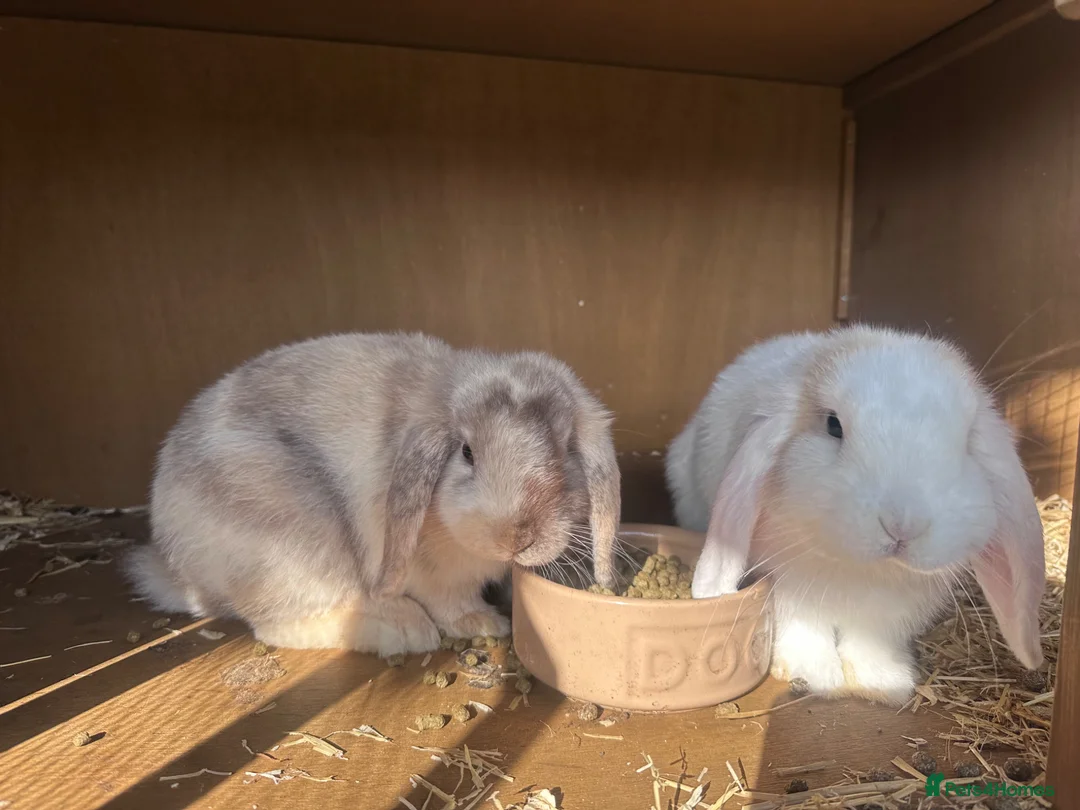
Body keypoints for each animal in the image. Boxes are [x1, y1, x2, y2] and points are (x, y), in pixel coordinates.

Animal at [124, 331, 621, 657]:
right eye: (466, 452)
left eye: (566, 448)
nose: (515, 537)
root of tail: (177, 567)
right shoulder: (432, 574)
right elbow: (450, 601)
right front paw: (484, 623)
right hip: (303, 548)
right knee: (278, 625)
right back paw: (401, 630)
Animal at [665, 325, 1045, 706]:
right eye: (833, 425)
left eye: (967, 442)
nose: (902, 526)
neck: (861, 569)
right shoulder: (787, 583)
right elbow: (804, 628)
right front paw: (814, 676)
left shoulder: (892, 612)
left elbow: (871, 642)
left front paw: (882, 683)